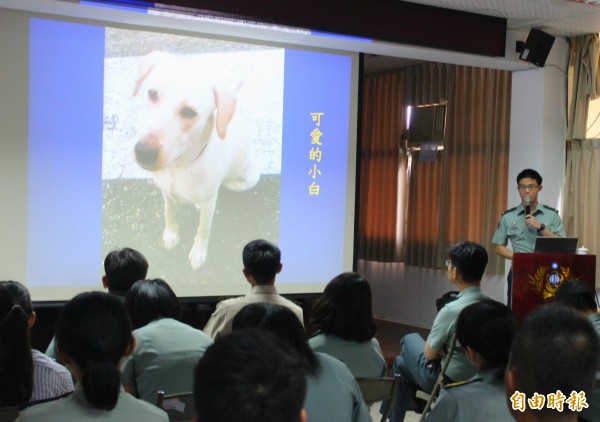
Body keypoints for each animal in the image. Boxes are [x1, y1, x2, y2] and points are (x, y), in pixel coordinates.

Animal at [132, 52, 258, 268]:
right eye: (152, 94)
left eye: (189, 112)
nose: (143, 152)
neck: (178, 166)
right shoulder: (165, 192)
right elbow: (169, 212)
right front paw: (171, 234)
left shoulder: (209, 206)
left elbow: (203, 230)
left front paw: (198, 252)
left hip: (245, 180)